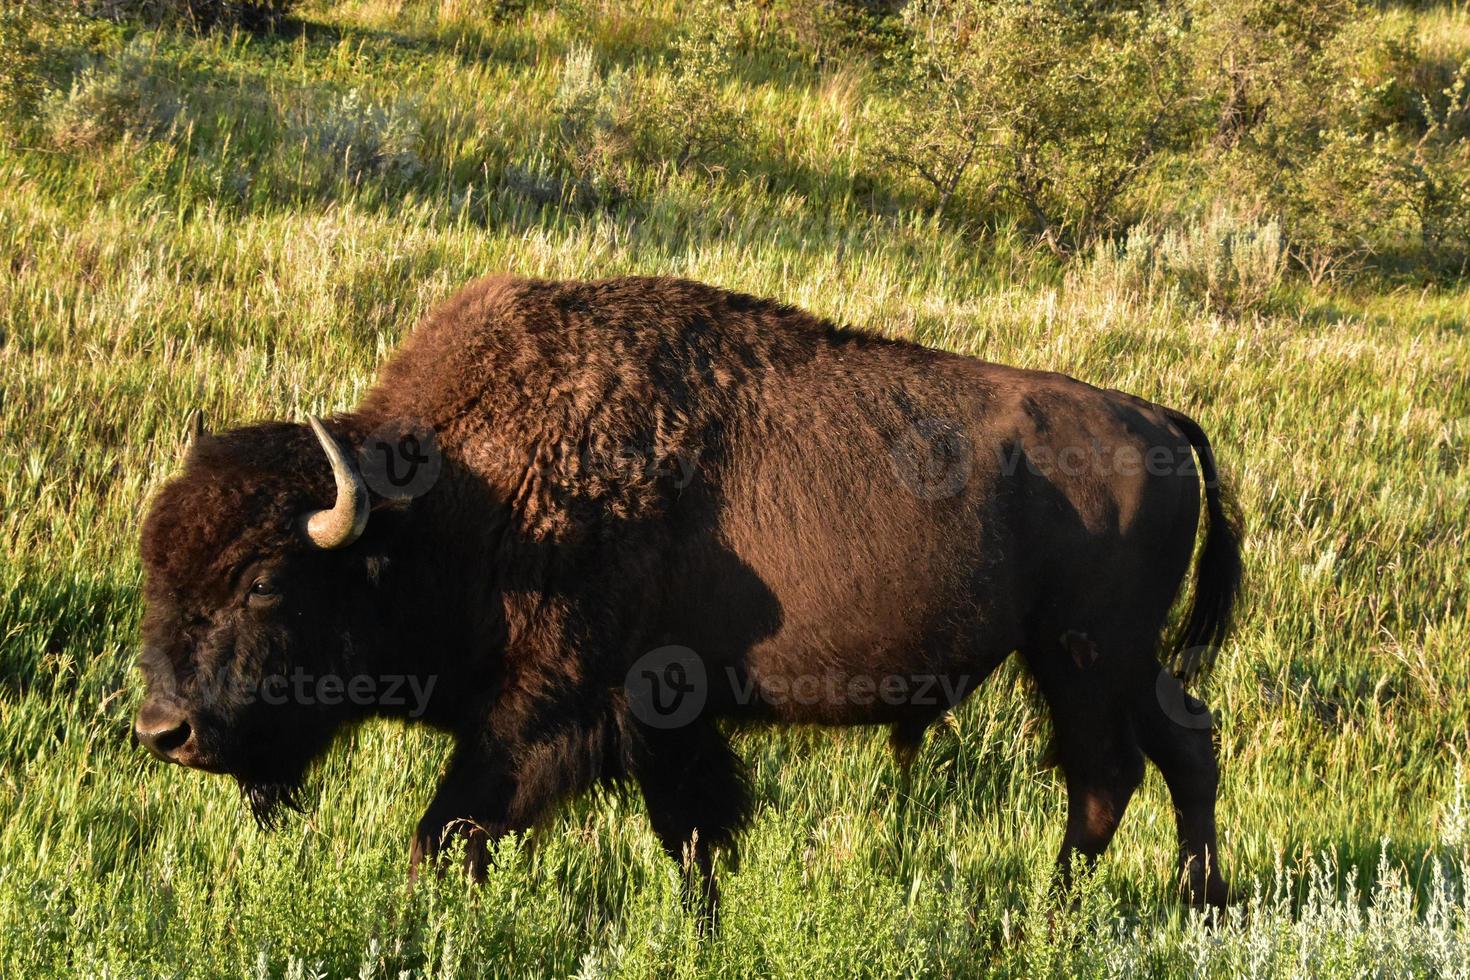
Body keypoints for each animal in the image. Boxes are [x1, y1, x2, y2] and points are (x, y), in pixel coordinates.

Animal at [135, 274, 1240, 910]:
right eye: (155, 562)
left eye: (266, 579)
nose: (163, 729)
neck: (465, 492)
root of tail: (1156, 417)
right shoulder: (665, 725)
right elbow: (695, 839)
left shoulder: (549, 711)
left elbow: (445, 833)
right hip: (1123, 659)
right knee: (1186, 748)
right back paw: (1198, 900)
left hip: (1082, 656)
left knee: (1105, 778)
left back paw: (1051, 915)